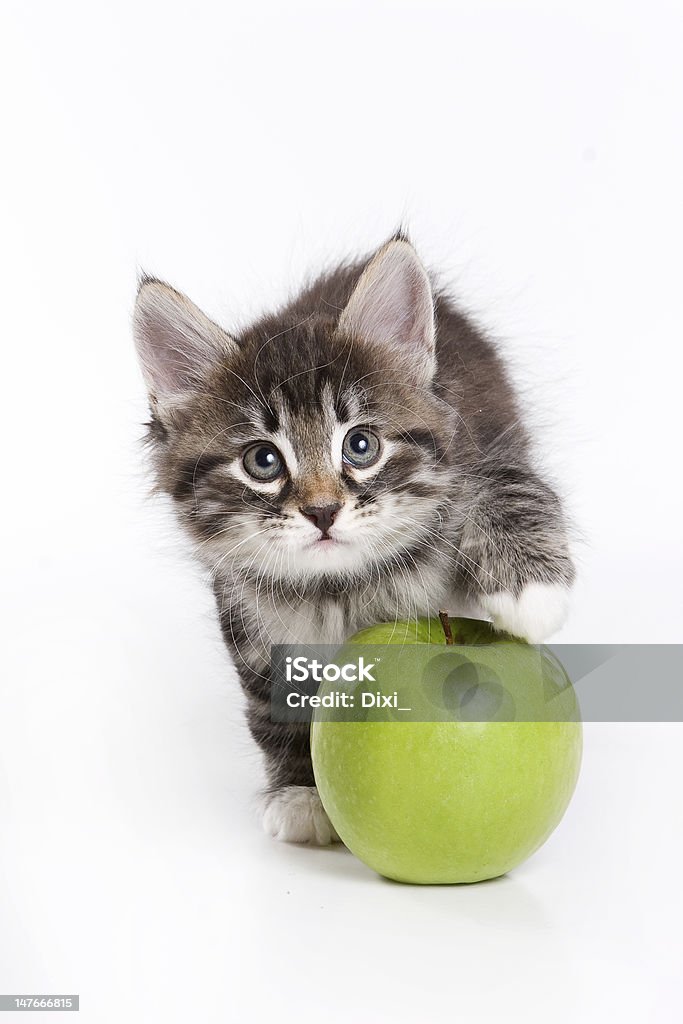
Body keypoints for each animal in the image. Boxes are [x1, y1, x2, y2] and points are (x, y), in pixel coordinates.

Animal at [132, 235, 573, 843]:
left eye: (360, 445)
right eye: (262, 461)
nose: (322, 511)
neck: (341, 588)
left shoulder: (480, 450)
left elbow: (512, 487)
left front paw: (532, 594)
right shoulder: (253, 626)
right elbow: (275, 706)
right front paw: (301, 792)